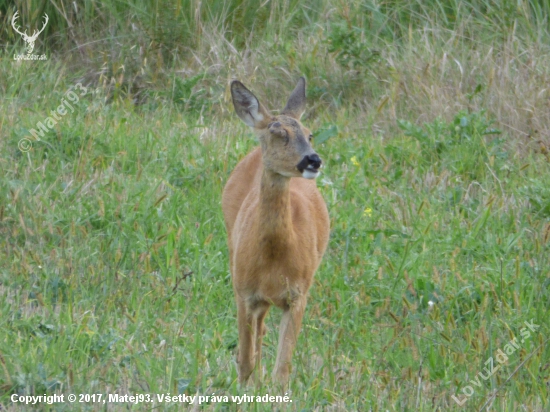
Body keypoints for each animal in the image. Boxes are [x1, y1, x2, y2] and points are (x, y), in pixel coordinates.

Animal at [221, 76, 330, 384]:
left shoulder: (298, 294)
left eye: (309, 134)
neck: (274, 257)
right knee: (255, 337)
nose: (313, 160)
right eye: (278, 133)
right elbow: (245, 362)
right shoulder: (244, 292)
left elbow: (282, 371)